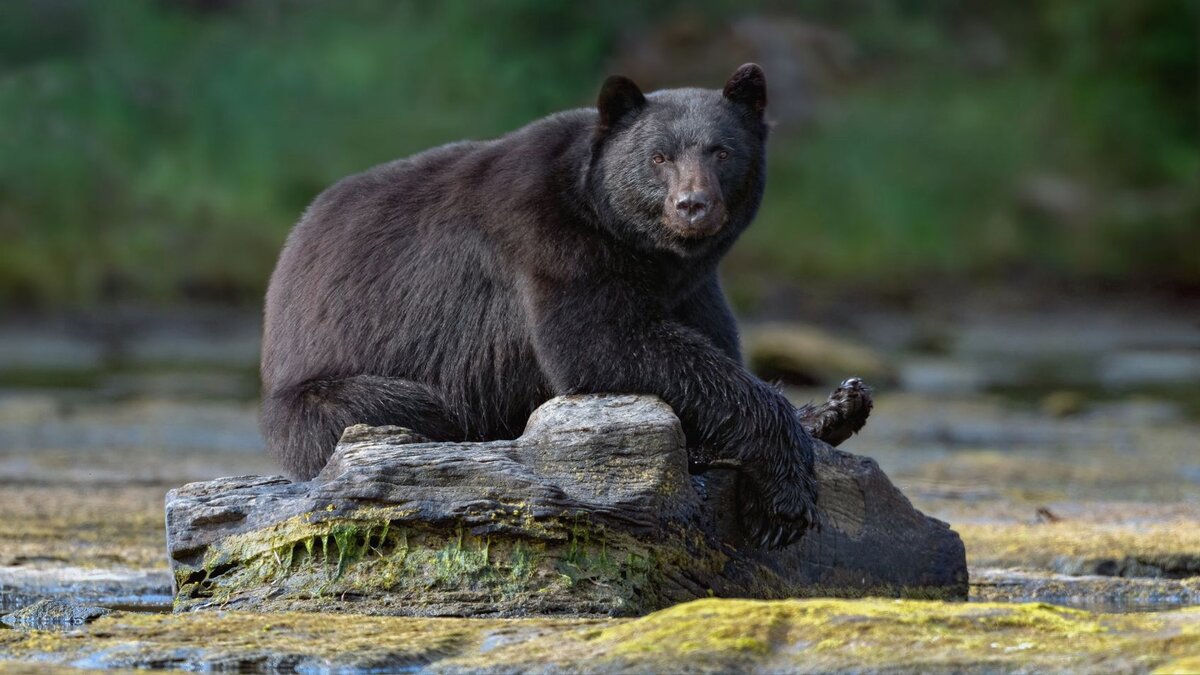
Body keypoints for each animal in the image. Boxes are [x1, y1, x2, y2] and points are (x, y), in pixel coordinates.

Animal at [260, 64, 864, 547]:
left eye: (722, 151)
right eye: (659, 156)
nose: (692, 205)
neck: (644, 251)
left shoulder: (694, 288)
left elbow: (711, 346)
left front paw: (830, 408)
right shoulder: (553, 242)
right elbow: (599, 345)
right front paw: (784, 496)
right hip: (319, 393)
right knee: (393, 410)